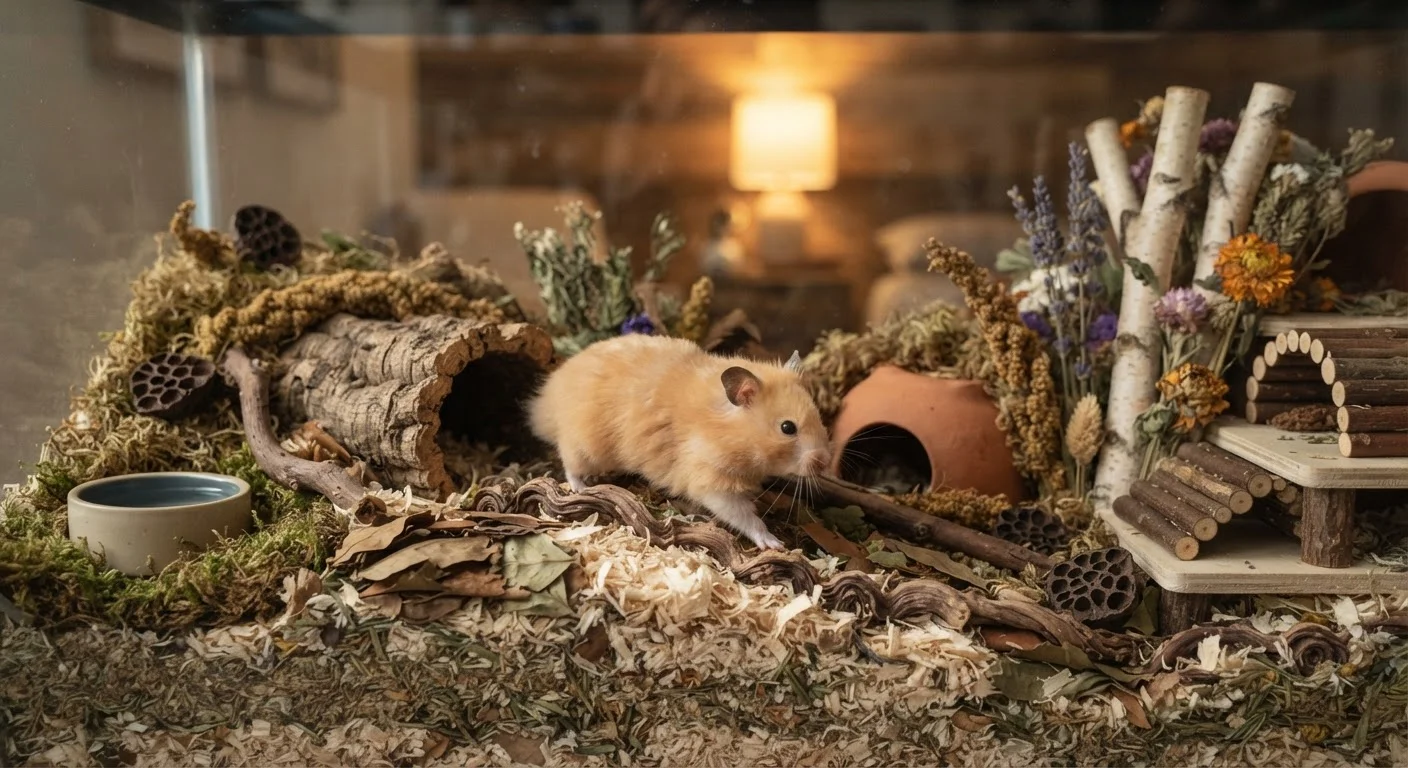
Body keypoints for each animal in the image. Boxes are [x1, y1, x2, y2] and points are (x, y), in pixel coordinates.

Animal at [527, 334, 831, 550]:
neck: (728, 430)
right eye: (787, 428)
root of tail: (546, 400)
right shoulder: (711, 481)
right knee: (570, 464)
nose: (825, 462)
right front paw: (775, 544)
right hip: (585, 446)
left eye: (819, 416)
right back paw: (581, 487)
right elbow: (744, 515)